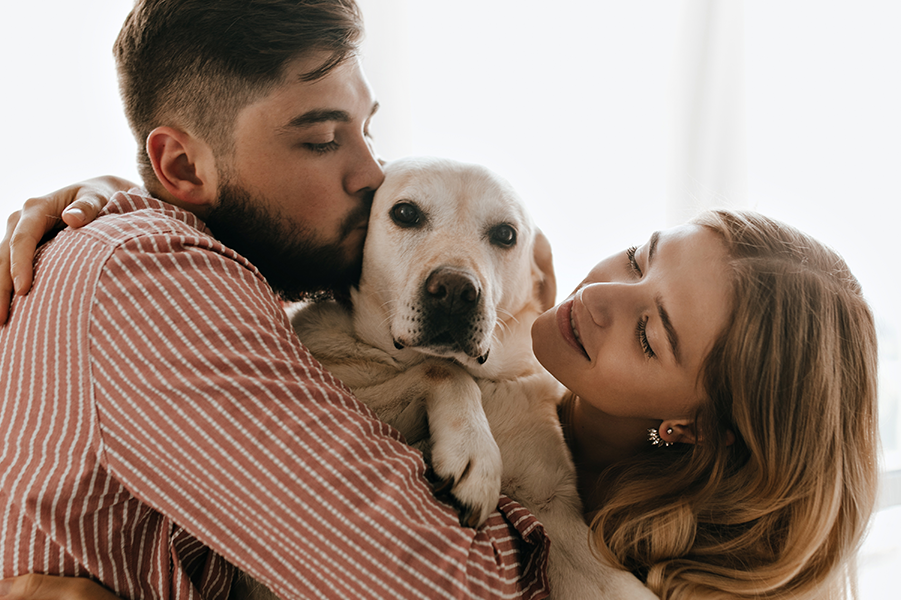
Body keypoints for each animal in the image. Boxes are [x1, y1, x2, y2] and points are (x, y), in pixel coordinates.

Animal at [236, 157, 656, 596]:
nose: (455, 291)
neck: (486, 381)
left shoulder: (552, 513)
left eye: (506, 234)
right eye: (405, 213)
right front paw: (475, 453)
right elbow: (443, 368)